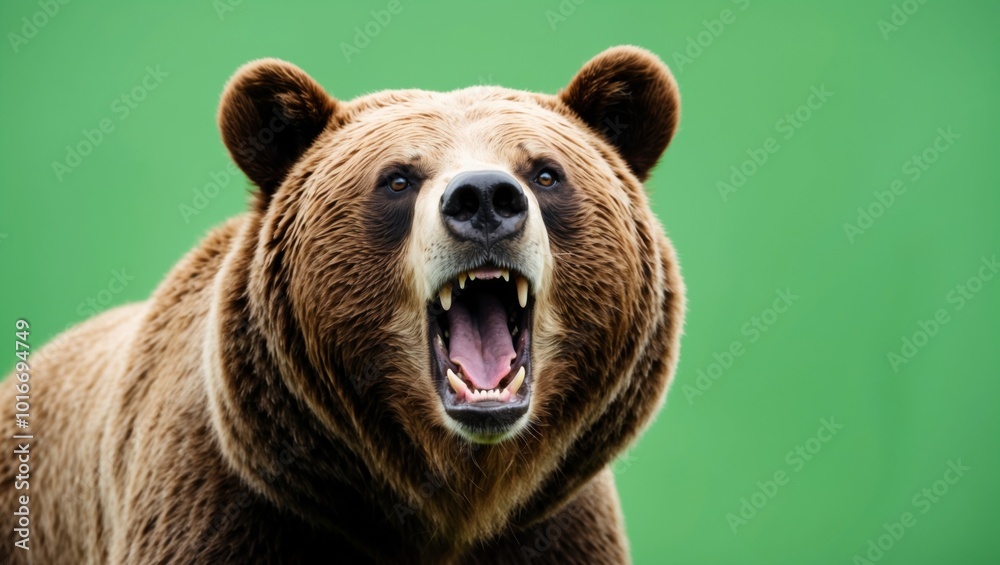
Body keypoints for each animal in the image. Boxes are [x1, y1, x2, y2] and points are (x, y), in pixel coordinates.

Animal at [0, 45, 684, 563]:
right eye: (398, 178)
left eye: (545, 173)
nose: (485, 199)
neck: (453, 500)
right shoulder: (225, 510)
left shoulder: (555, 529)